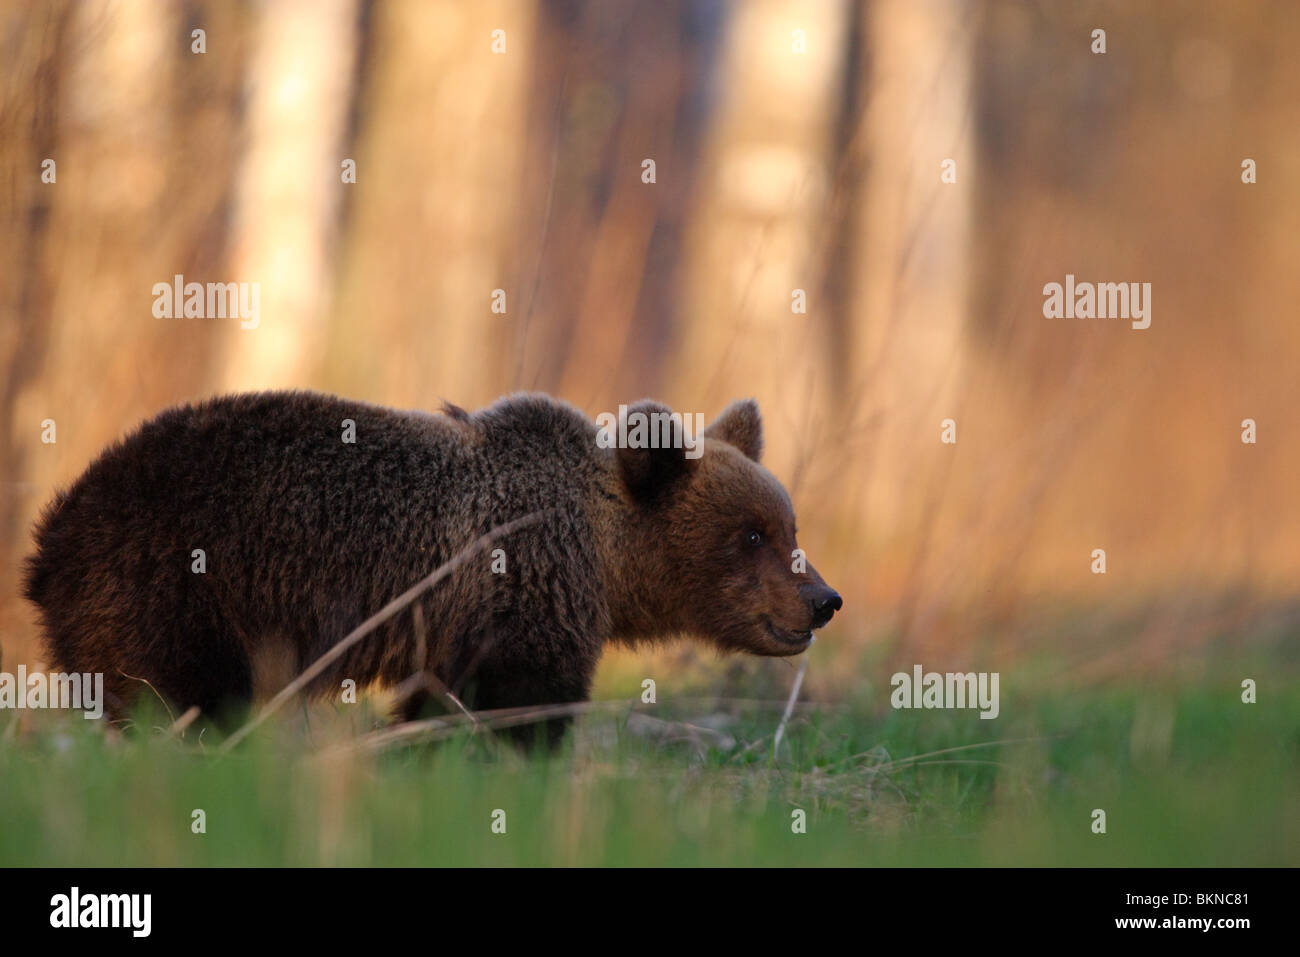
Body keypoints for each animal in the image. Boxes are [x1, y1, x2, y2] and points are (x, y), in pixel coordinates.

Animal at [30, 390, 847, 738]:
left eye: (789, 526)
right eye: (750, 534)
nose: (824, 599)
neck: (606, 557)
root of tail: (51, 536)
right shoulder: (522, 586)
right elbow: (515, 702)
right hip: (177, 590)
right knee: (180, 701)